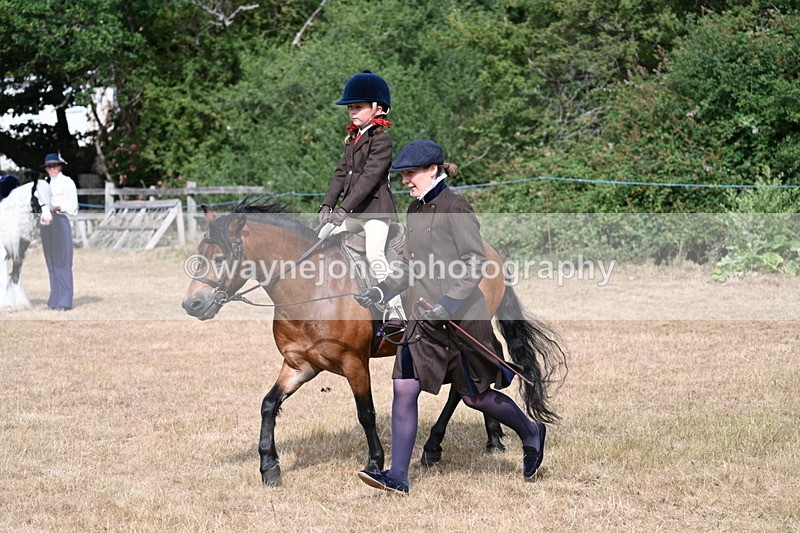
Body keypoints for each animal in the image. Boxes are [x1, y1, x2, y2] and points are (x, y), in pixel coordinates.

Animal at [0, 179, 53, 310]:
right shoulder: (2, 255)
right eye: (35, 198)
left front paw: (21, 304)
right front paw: (6, 306)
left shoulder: (19, 256)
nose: (47, 219)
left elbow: (15, 277)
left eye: (50, 196)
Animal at [182, 198, 565, 485]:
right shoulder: (300, 364)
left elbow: (365, 413)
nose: (192, 305)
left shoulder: (354, 362)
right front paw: (268, 467)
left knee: (472, 380)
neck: (311, 288)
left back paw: (438, 445)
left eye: (220, 258)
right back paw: (490, 438)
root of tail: (490, 252)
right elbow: (268, 405)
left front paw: (376, 461)